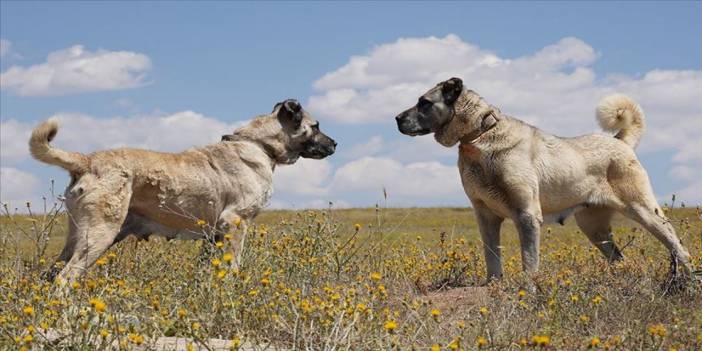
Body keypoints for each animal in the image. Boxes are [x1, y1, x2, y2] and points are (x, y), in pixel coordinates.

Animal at [32, 99, 338, 284]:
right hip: (99, 234)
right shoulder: (235, 223)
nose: (335, 143)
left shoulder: (215, 234)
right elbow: (234, 265)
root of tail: (88, 160)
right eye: (315, 126)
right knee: (65, 278)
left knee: (51, 274)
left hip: (78, 236)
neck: (258, 144)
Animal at [398, 78, 696, 284]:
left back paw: (689, 280)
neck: (479, 136)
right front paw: (494, 286)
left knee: (679, 247)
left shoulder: (527, 215)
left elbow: (529, 261)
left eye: (424, 102)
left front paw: (529, 290)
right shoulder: (486, 217)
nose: (397, 118)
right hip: (594, 227)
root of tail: (619, 142)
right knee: (619, 258)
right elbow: (492, 258)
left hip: (644, 211)